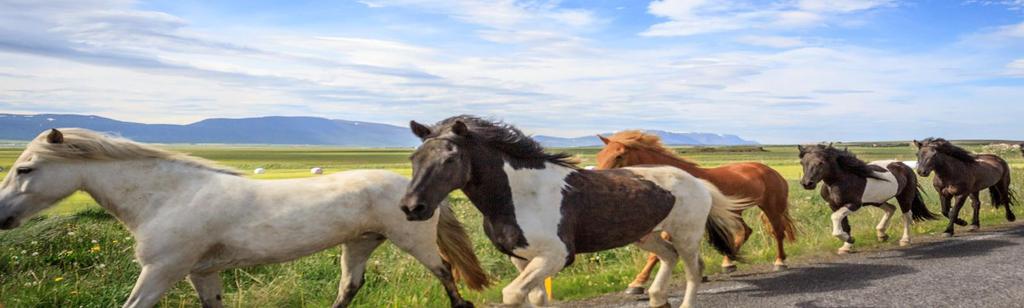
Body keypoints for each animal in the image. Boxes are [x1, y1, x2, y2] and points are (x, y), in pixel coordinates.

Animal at [0, 128, 489, 306]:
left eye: (25, 169)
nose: (2, 216)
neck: (169, 196)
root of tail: (415, 191)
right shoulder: (201, 272)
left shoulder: (161, 271)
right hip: (360, 242)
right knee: (349, 286)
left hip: (416, 243)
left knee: (446, 274)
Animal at [397, 115, 745, 306]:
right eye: (414, 158)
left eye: (450, 158)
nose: (412, 207)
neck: (522, 195)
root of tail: (697, 180)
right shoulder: (522, 259)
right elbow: (535, 298)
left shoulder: (556, 256)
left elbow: (512, 295)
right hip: (646, 235)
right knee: (668, 257)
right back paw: (658, 299)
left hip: (687, 234)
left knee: (693, 271)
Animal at [598, 130, 794, 294]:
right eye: (600, 155)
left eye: (619, 155)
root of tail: (772, 171)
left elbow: (656, 253)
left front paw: (637, 284)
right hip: (734, 212)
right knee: (745, 231)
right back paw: (728, 262)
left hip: (771, 207)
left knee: (777, 232)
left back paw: (779, 262)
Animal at [794, 142, 937, 252]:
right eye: (802, 162)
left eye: (821, 162)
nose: (807, 183)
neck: (840, 181)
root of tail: (905, 166)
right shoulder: (834, 206)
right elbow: (844, 224)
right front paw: (847, 246)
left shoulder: (853, 204)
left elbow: (835, 218)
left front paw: (849, 239)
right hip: (877, 200)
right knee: (891, 208)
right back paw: (881, 234)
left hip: (904, 196)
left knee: (906, 216)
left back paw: (905, 240)